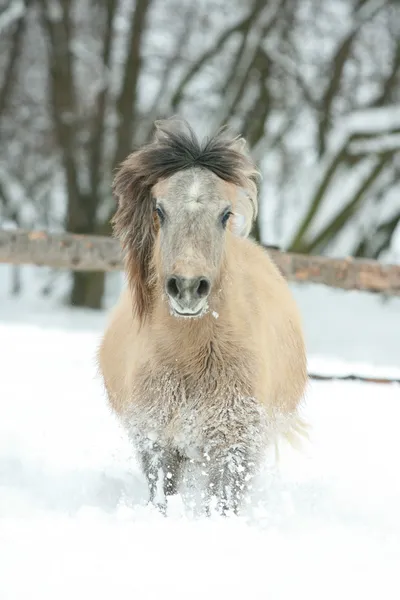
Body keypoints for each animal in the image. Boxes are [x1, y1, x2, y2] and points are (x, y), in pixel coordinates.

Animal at [98, 118, 308, 516]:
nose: (187, 286)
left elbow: (222, 506)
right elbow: (162, 499)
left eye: (225, 214)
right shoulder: (157, 442)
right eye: (160, 210)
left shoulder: (233, 447)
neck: (192, 361)